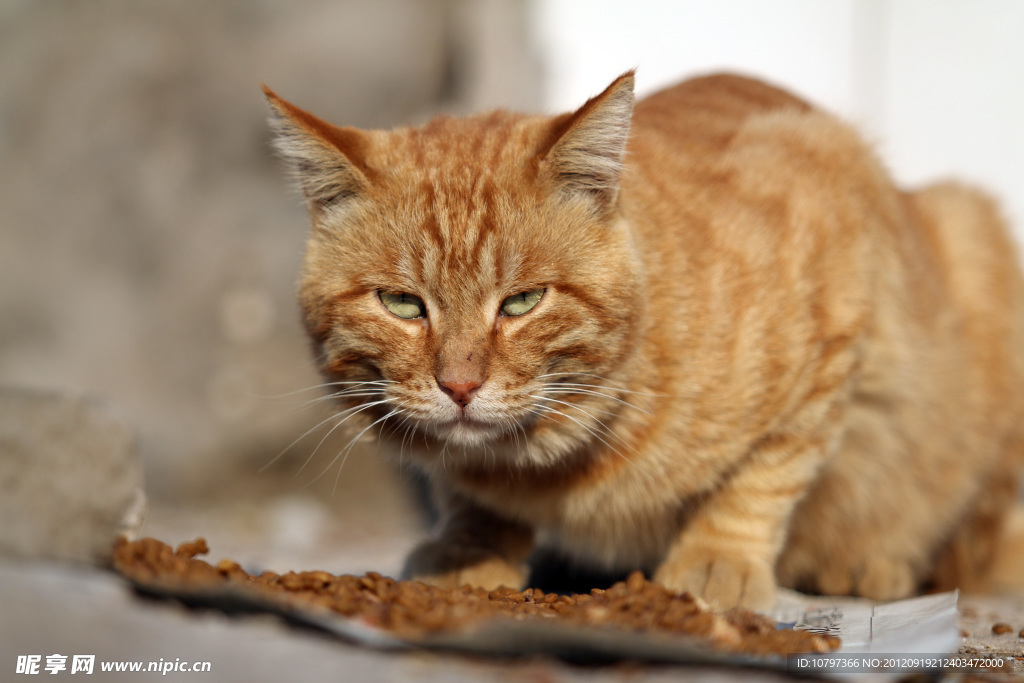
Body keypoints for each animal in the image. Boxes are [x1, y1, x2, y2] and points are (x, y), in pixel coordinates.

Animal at [266, 72, 1024, 610]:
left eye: (522, 301)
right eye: (402, 303)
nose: (459, 385)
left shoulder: (834, 315)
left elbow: (764, 474)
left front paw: (717, 561)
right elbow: (465, 494)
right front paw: (466, 549)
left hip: (973, 244)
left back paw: (870, 562)